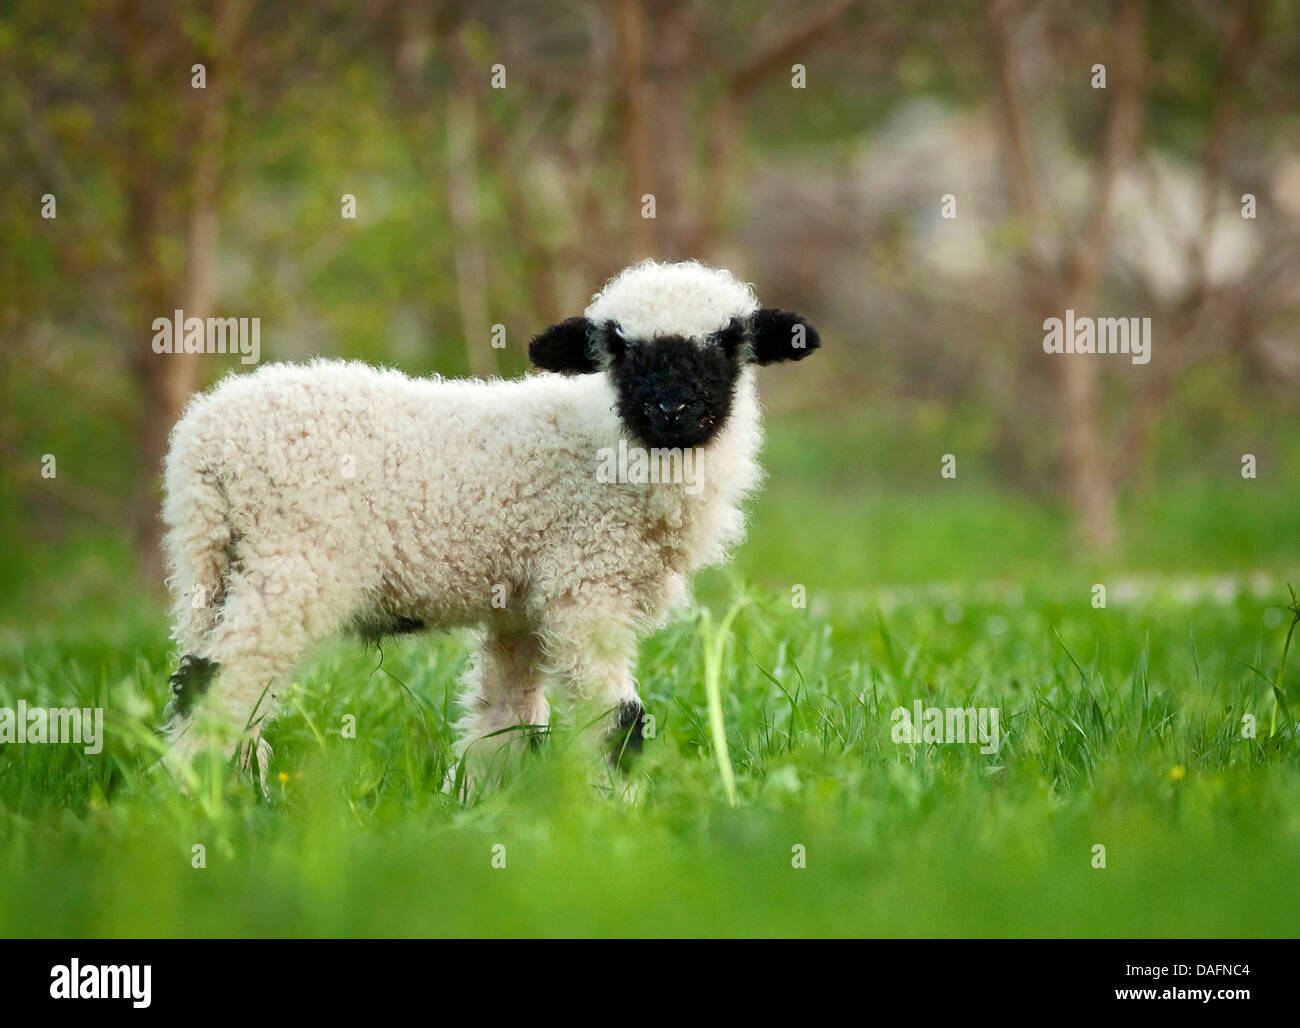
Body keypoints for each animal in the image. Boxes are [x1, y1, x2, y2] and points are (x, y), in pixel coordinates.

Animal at [159, 259, 820, 787]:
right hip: (293, 564)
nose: (671, 409)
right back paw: (207, 802)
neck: (608, 448)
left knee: (194, 673)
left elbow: (505, 718)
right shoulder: (584, 583)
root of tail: (208, 438)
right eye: (618, 351)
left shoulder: (521, 606)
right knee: (224, 682)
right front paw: (617, 817)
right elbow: (619, 722)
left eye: (728, 345)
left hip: (207, 563)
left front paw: (480, 804)